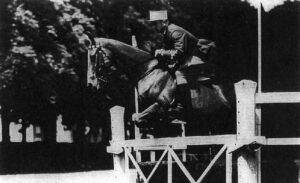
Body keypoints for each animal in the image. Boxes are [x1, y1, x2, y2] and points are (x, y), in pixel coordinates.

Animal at [88, 37, 236, 136]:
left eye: (93, 57)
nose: (91, 85)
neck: (148, 71)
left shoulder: (162, 104)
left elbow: (139, 117)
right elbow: (137, 118)